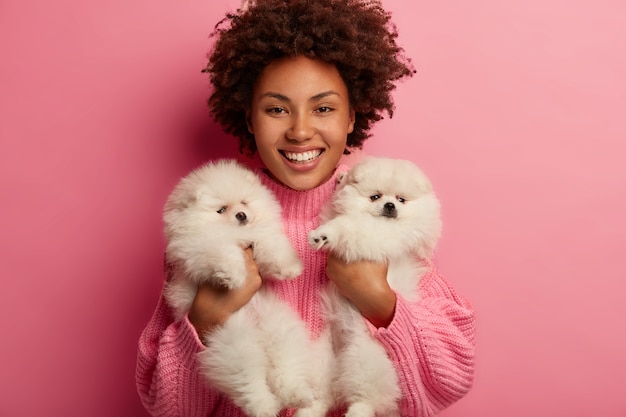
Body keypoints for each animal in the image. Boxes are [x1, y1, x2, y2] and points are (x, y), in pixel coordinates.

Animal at [163, 158, 312, 416]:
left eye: (244, 202)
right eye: (221, 210)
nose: (242, 215)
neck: (236, 233)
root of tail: (259, 335)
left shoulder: (259, 235)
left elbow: (270, 245)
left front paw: (288, 267)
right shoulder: (198, 245)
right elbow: (221, 250)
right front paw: (233, 275)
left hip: (280, 331)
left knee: (285, 367)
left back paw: (297, 395)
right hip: (234, 345)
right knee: (249, 380)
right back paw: (263, 406)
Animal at [306, 156, 442, 416]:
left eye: (401, 199)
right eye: (375, 197)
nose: (390, 206)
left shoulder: (380, 235)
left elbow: (347, 225)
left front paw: (325, 235)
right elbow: (339, 210)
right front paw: (341, 180)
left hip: (366, 357)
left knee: (366, 398)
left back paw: (357, 410)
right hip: (320, 357)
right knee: (319, 395)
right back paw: (308, 409)